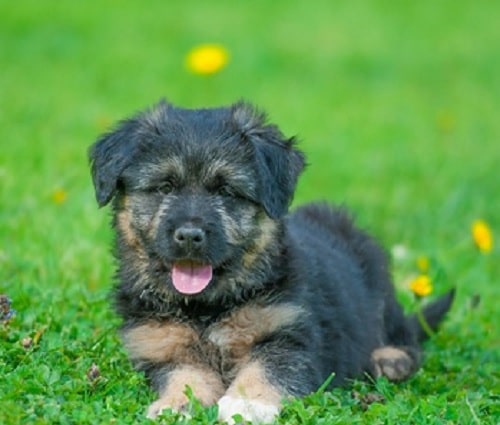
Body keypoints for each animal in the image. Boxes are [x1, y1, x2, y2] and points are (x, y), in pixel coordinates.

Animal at [89, 100, 454, 424]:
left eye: (227, 192)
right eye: (164, 187)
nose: (190, 235)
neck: (208, 307)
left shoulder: (291, 332)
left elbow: (267, 367)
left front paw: (246, 404)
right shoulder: (160, 344)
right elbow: (186, 376)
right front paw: (175, 406)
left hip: (377, 279)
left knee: (402, 333)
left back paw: (390, 360)